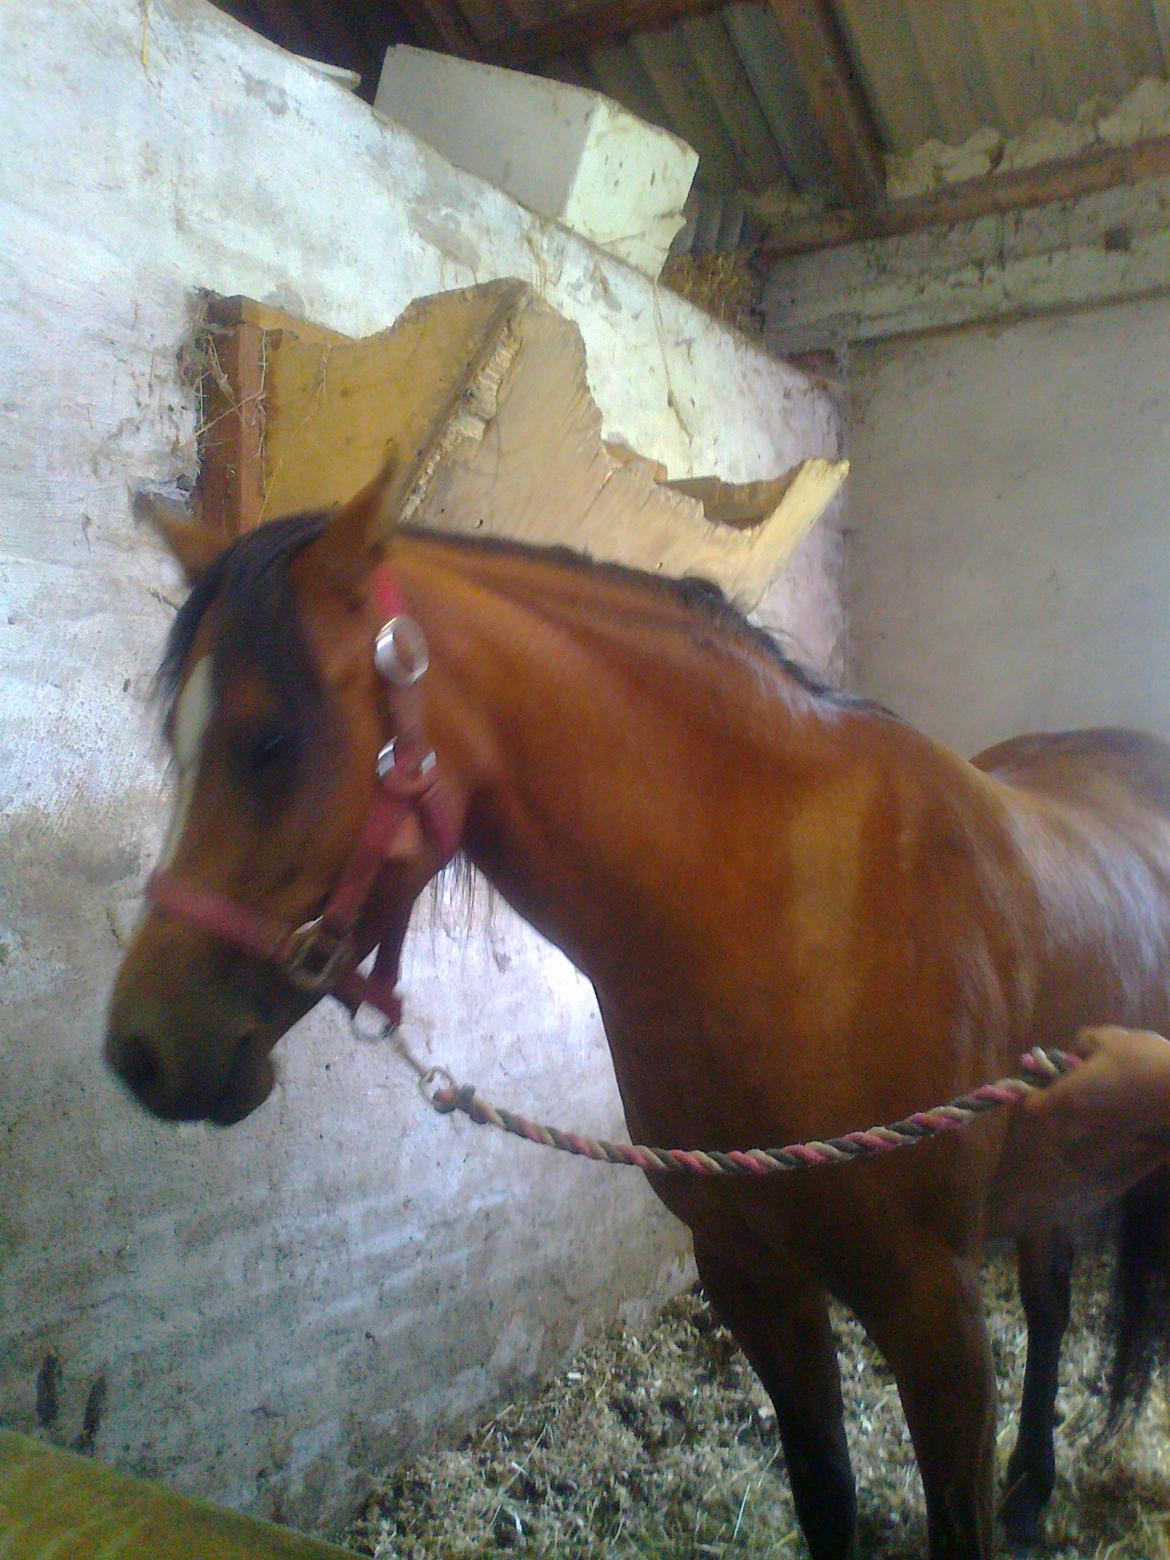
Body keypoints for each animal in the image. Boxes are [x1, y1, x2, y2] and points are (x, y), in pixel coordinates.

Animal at [105, 458, 1170, 1558]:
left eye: (272, 739)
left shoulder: (934, 1310)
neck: (799, 921)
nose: (139, 1051)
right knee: (1051, 1294)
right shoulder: (752, 1276)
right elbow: (824, 1494)